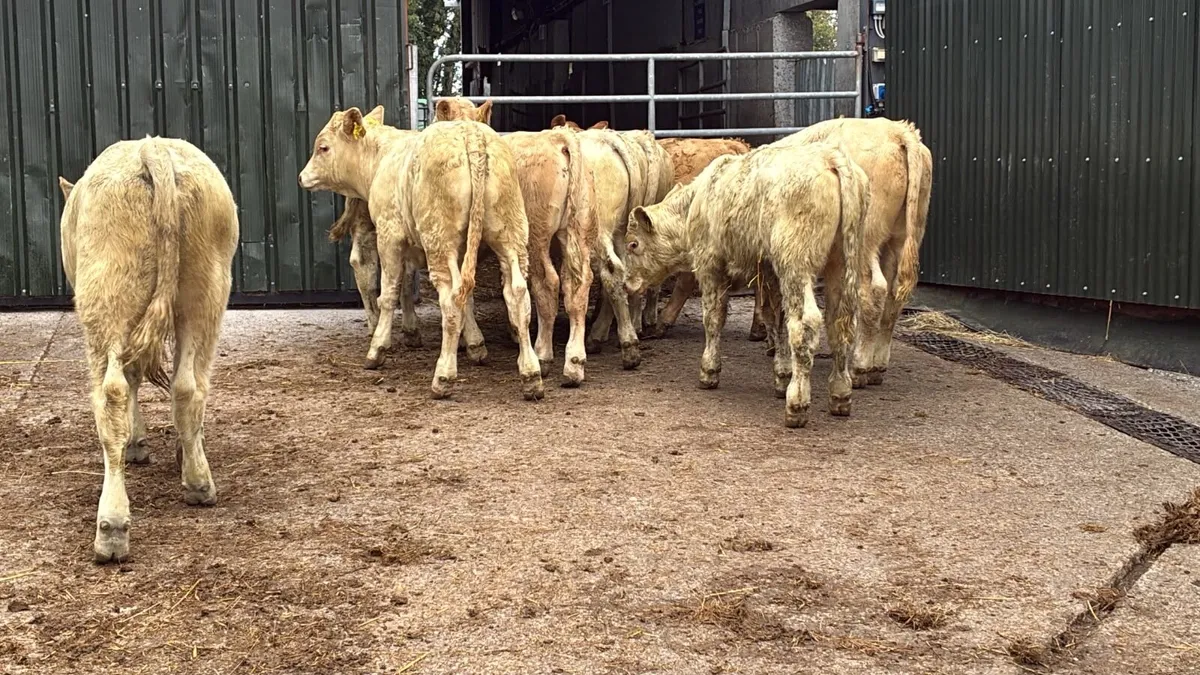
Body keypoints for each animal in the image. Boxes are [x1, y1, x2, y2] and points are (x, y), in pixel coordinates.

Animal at [58, 137, 239, 563]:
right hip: (204, 293)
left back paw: (113, 527)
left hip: (108, 301)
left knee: (113, 393)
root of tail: (151, 148)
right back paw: (195, 482)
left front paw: (137, 443)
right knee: (187, 386)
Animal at [299, 106, 544, 400]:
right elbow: (464, 296)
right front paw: (475, 345)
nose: (302, 176)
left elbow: (389, 292)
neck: (381, 158)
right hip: (510, 234)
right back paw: (531, 375)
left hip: (439, 238)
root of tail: (471, 134)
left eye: (323, 147)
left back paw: (443, 377)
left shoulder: (389, 235)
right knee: (515, 294)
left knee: (451, 298)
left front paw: (378, 349)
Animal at [433, 97, 597, 386]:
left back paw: (543, 353)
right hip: (577, 231)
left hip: (537, 234)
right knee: (578, 285)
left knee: (548, 282)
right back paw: (574, 363)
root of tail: (558, 138)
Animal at [622, 142, 870, 428]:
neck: (697, 203)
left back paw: (797, 403)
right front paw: (781, 375)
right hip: (842, 263)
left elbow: (714, 318)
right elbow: (774, 319)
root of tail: (831, 158)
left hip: (796, 264)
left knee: (805, 323)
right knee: (840, 323)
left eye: (633, 244)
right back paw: (840, 394)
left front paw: (709, 370)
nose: (627, 283)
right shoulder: (769, 273)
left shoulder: (710, 265)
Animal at [774, 118, 933, 387]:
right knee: (894, 297)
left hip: (865, 239)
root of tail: (898, 131)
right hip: (902, 237)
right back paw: (877, 366)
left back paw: (861, 367)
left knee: (873, 290)